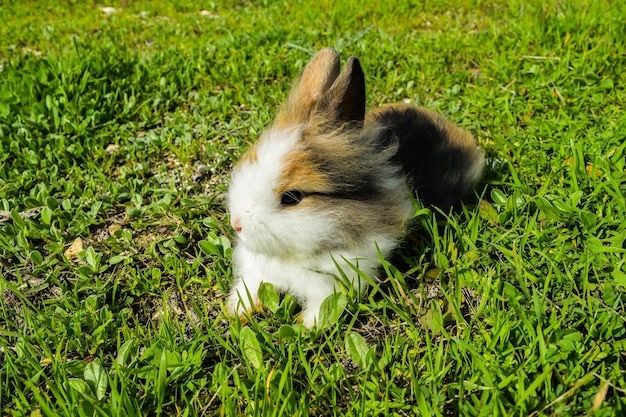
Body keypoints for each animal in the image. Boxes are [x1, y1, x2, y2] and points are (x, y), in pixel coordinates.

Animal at [225, 46, 482, 324]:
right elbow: (251, 287)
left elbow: (322, 308)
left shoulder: (335, 283)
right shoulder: (257, 272)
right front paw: (237, 311)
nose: (236, 224)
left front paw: (306, 325)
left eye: (291, 197)